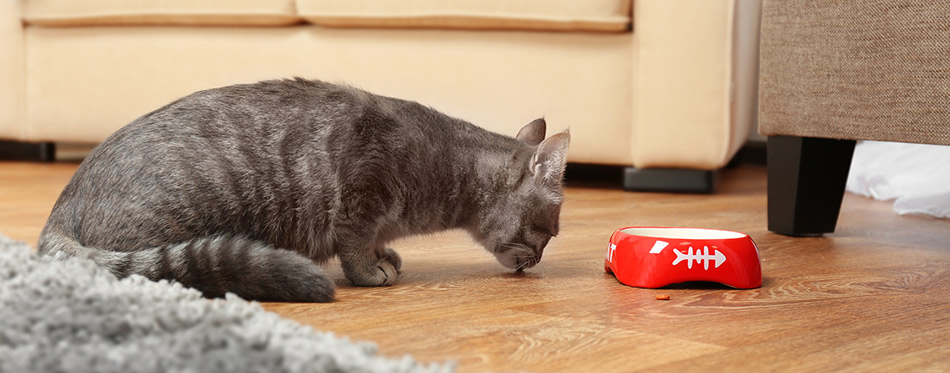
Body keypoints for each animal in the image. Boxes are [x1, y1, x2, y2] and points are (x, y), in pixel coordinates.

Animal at [37, 78, 568, 302]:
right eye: (550, 232)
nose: (538, 260)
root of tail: (60, 211)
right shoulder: (360, 196)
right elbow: (354, 248)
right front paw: (370, 271)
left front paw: (387, 255)